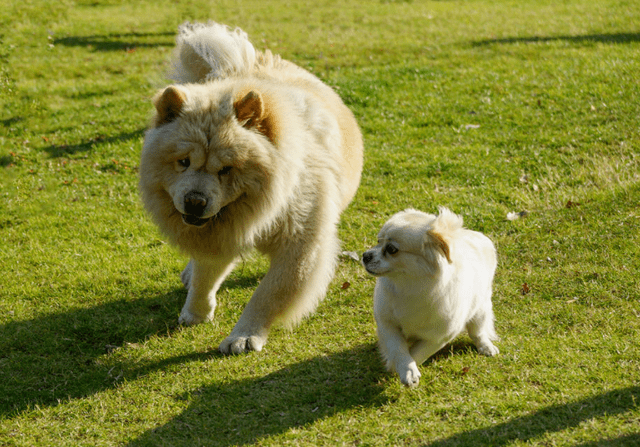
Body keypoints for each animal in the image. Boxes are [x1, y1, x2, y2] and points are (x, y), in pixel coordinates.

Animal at [139, 22, 362, 356]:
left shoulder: (300, 243)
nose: (194, 201)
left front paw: (244, 336)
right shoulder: (217, 234)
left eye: (226, 169)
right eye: (183, 162)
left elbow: (269, 293)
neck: (264, 205)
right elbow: (206, 274)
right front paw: (196, 311)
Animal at [362, 208, 498, 386]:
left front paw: (407, 370)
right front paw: (403, 367)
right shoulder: (387, 324)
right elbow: (398, 349)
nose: (365, 255)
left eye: (391, 249)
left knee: (478, 332)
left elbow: (418, 352)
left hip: (480, 310)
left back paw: (486, 347)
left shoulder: (439, 337)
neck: (409, 287)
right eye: (378, 241)